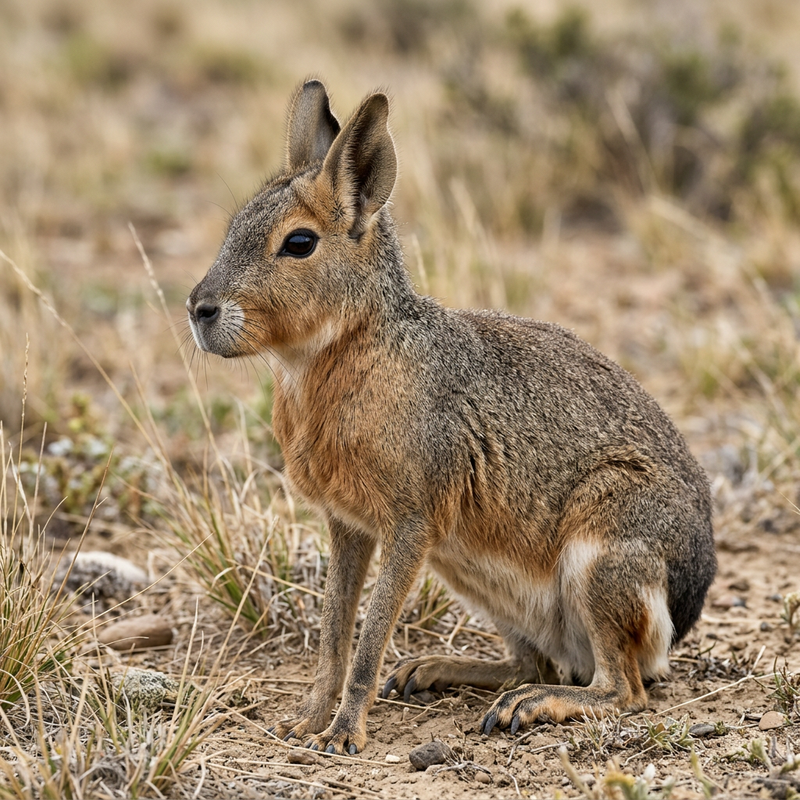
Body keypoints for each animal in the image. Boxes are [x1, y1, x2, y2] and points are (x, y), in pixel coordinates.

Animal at [187, 79, 716, 755]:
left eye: (299, 242)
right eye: (235, 225)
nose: (199, 309)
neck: (350, 350)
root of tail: (685, 606)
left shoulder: (410, 523)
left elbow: (366, 640)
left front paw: (343, 735)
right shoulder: (348, 525)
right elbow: (335, 635)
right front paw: (306, 721)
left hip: (600, 559)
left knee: (620, 689)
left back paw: (528, 706)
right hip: (482, 581)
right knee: (533, 661)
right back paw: (433, 671)